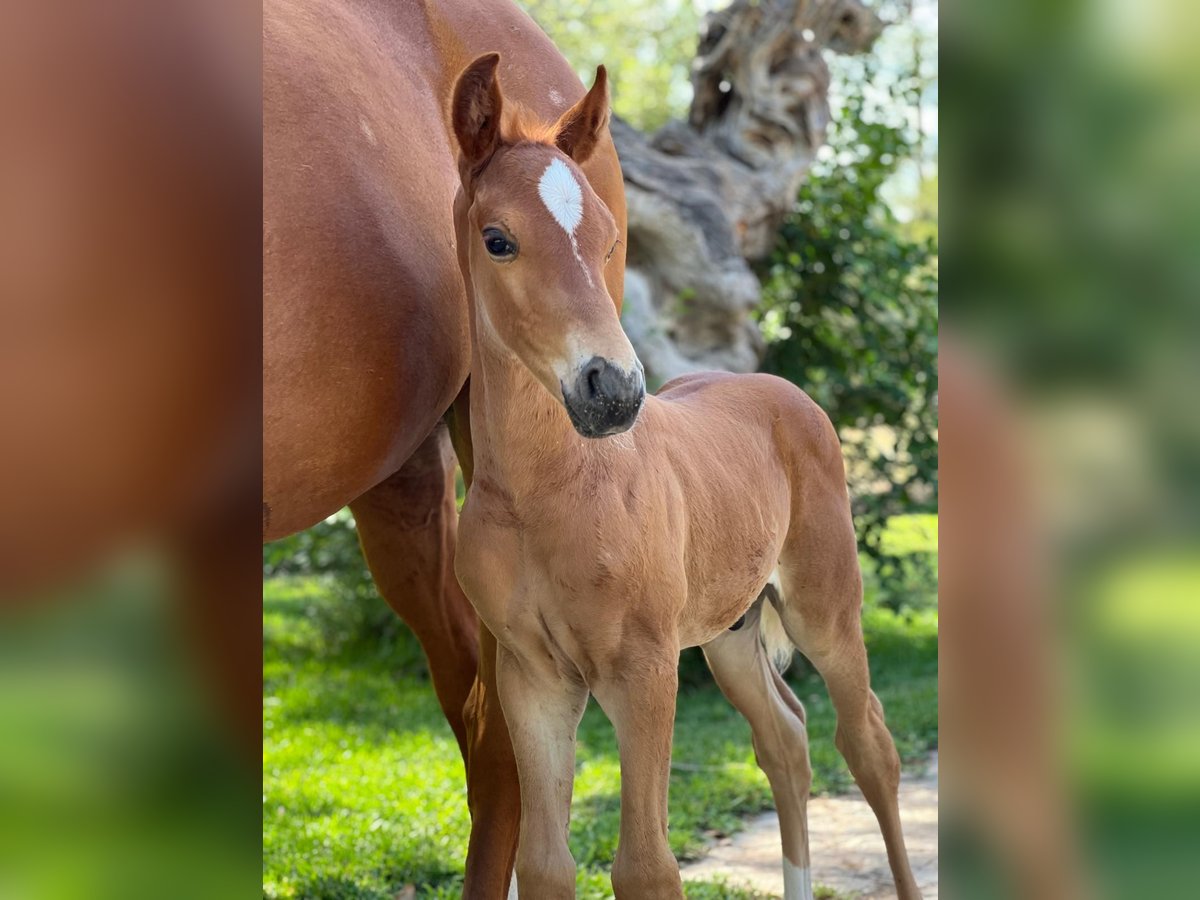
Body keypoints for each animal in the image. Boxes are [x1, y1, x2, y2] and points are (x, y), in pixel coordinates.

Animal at [448, 56, 916, 900]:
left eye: (608, 239)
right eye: (498, 240)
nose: (613, 389)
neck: (547, 491)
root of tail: (782, 390)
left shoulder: (644, 668)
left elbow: (645, 865)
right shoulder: (532, 676)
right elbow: (545, 864)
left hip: (824, 608)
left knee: (868, 743)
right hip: (730, 633)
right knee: (786, 740)